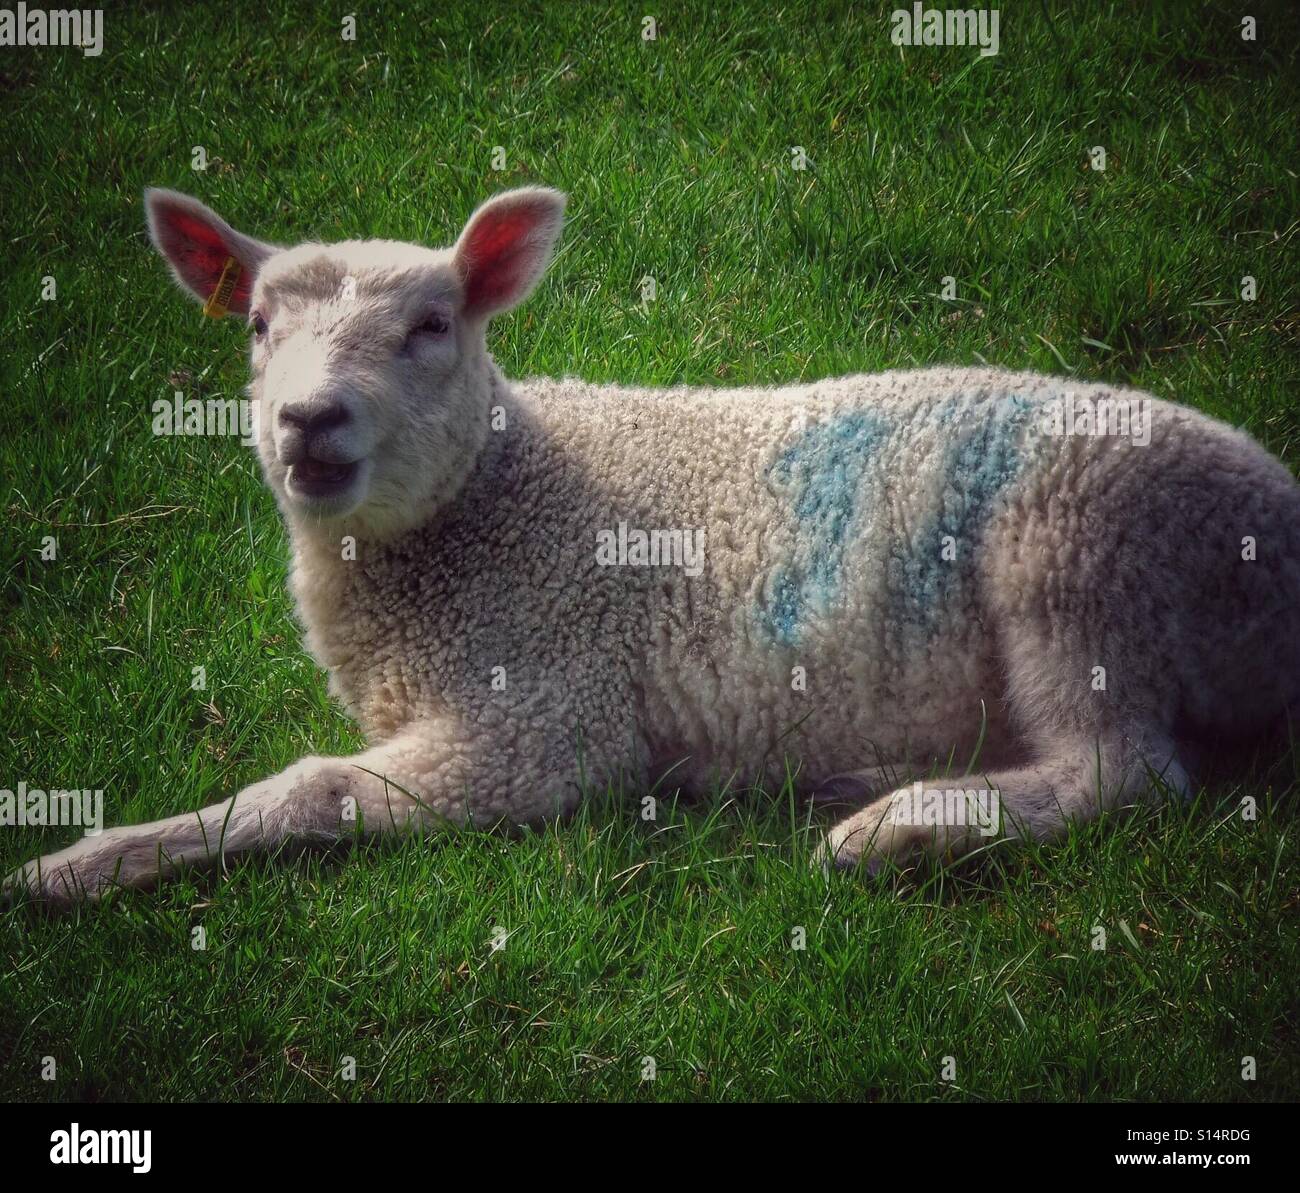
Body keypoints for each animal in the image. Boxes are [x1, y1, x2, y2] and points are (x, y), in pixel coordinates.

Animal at [8, 185, 1299, 903]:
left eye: (432, 326)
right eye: (258, 324)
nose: (308, 421)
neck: (495, 505)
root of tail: (1281, 523)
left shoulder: (542, 719)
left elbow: (309, 787)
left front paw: (82, 865)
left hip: (1081, 555)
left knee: (1120, 770)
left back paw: (898, 829)